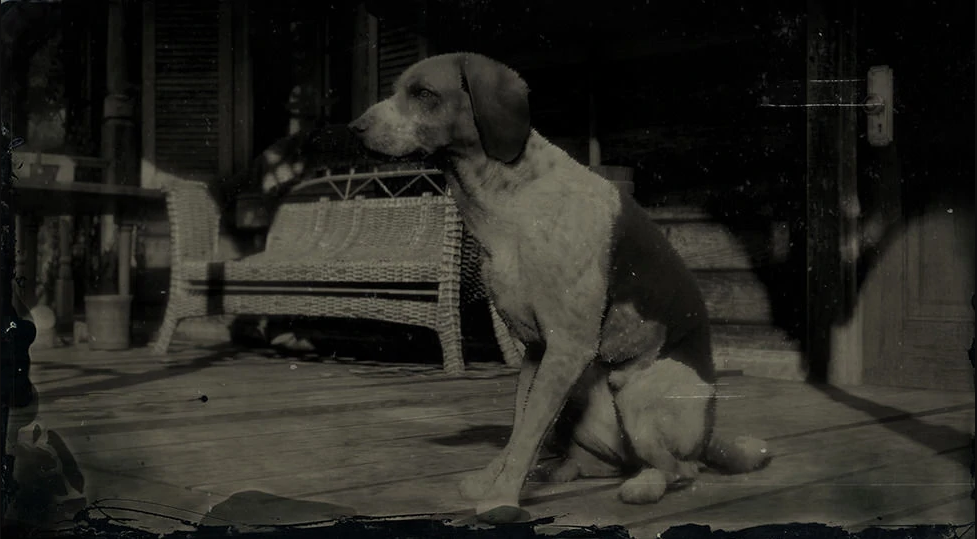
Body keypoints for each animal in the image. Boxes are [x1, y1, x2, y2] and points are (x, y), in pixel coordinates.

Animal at [349, 53, 770, 522]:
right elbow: (521, 430)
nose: (353, 129)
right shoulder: (537, 351)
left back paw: (643, 486)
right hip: (582, 396)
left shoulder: (566, 348)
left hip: (635, 397)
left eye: (423, 94)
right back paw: (558, 472)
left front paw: (501, 499)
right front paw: (494, 481)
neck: (510, 197)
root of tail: (710, 434)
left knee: (680, 469)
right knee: (598, 462)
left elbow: (527, 431)